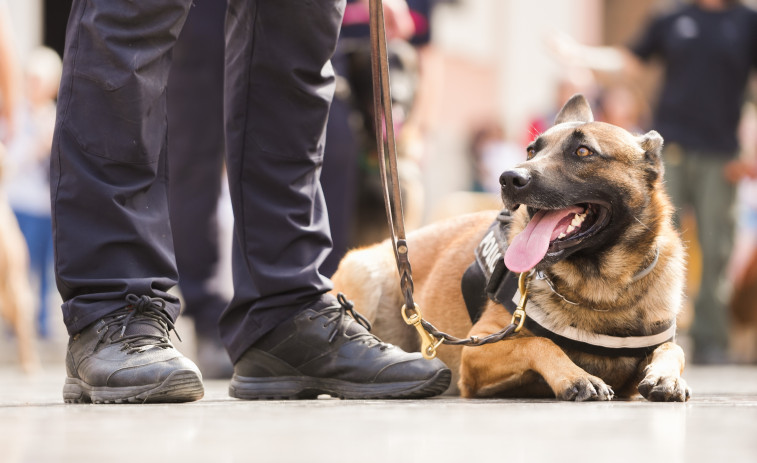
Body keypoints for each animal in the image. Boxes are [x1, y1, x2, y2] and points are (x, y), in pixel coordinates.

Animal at [334, 95, 688, 402]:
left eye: (583, 151)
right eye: (531, 151)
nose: (508, 178)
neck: (600, 291)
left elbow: (673, 349)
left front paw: (666, 376)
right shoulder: (477, 349)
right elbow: (540, 343)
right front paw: (576, 376)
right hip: (364, 274)